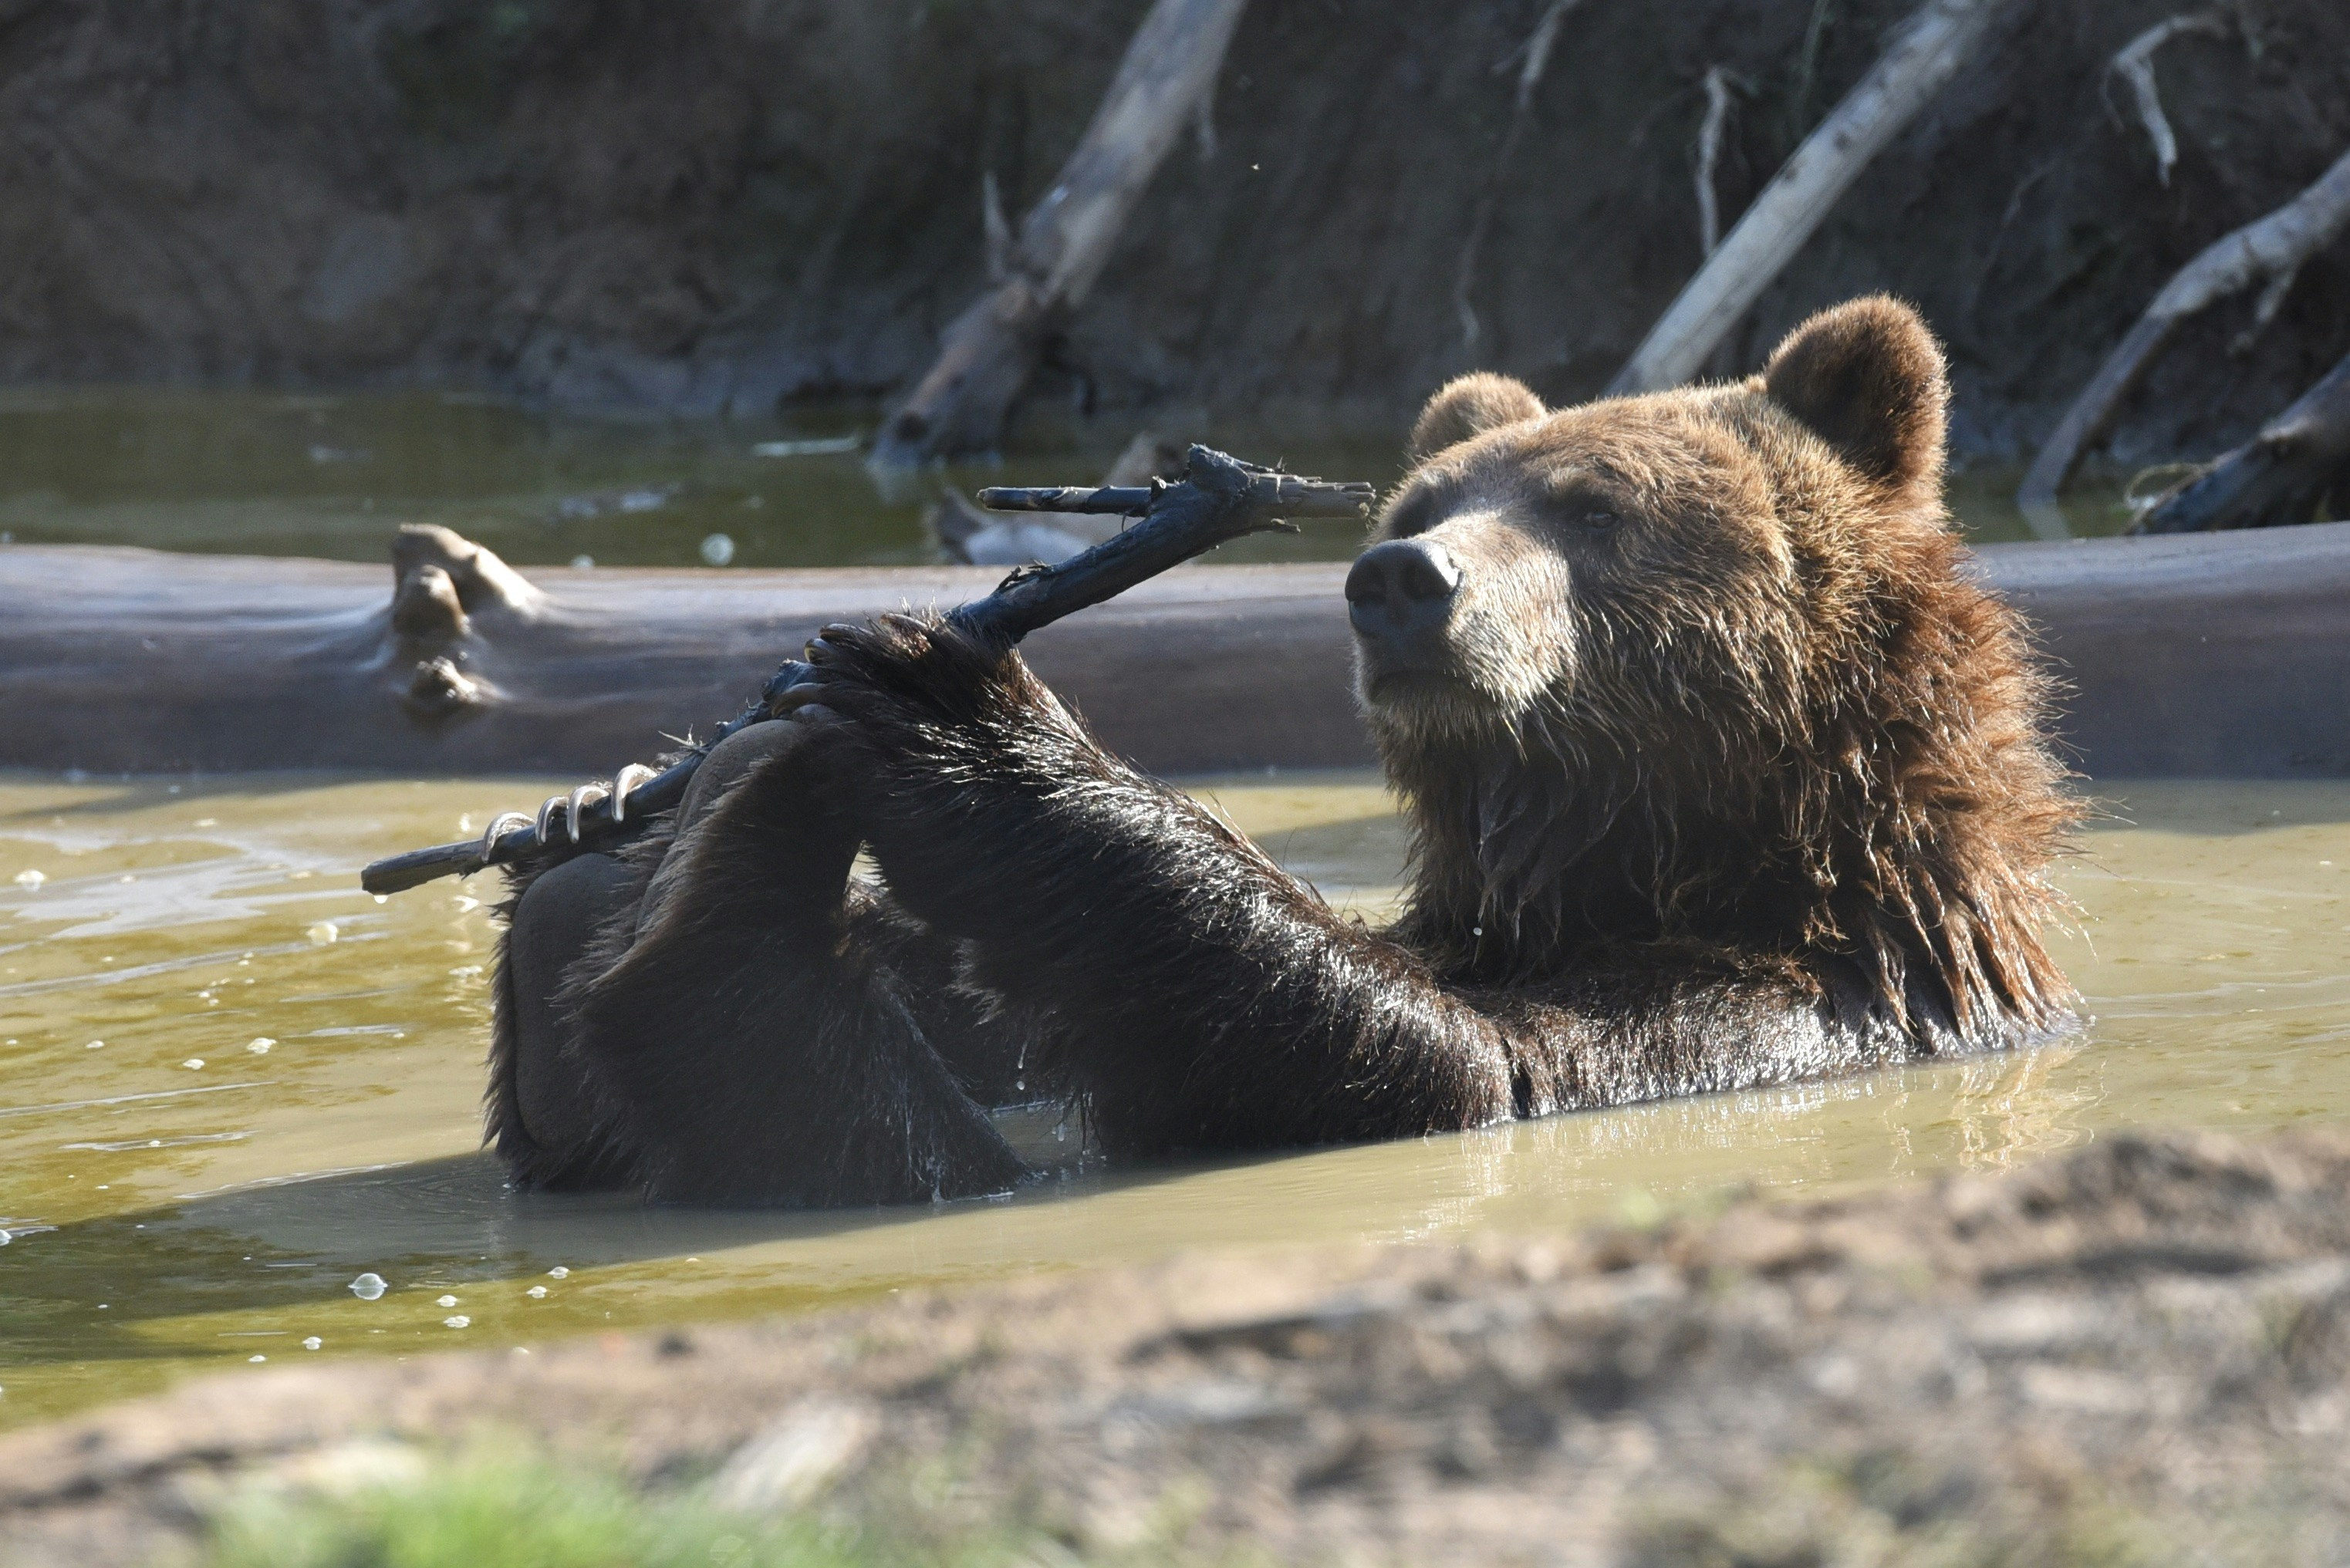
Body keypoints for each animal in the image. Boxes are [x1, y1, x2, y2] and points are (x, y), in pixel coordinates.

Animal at [485, 295, 2080, 1208]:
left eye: (1594, 507)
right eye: (1435, 496)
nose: (1400, 578)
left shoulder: (1802, 998)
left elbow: (1468, 1063)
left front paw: (954, 708)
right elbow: (993, 1007)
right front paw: (613, 798)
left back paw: (738, 827)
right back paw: (627, 846)